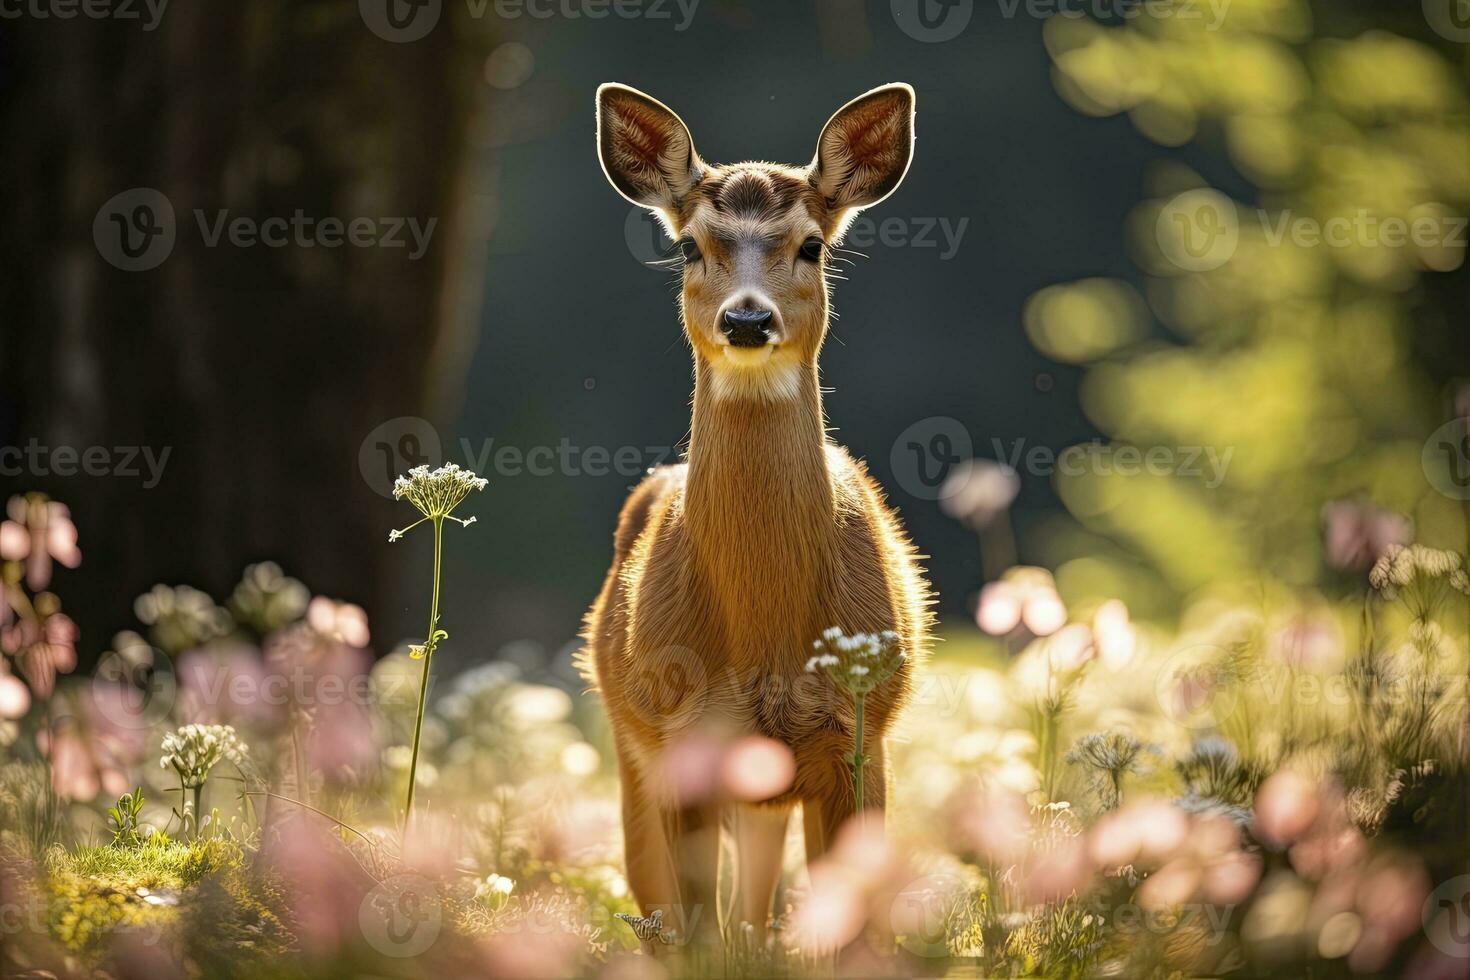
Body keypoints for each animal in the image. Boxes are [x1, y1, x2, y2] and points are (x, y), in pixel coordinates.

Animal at [582, 84, 934, 957]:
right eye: (688, 248)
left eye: (810, 245)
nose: (747, 321)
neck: (767, 637)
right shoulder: (683, 741)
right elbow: (698, 937)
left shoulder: (859, 739)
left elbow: (851, 936)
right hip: (630, 746)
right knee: (668, 915)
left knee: (756, 908)